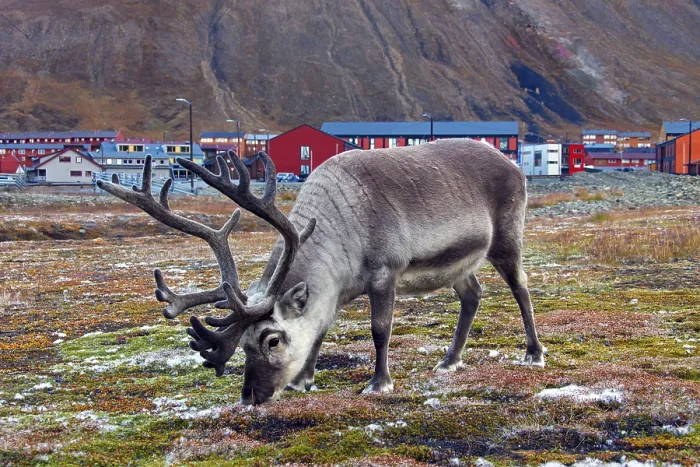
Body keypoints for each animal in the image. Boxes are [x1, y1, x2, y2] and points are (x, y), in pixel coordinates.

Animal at [96, 138, 545, 405]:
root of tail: (512, 165)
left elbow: (380, 330)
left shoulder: (384, 272)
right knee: (473, 295)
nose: (251, 396)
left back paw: (533, 352)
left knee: (521, 288)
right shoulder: (336, 290)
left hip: (507, 239)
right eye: (244, 346)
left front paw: (379, 382)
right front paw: (303, 379)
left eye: (272, 340)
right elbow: (321, 329)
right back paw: (450, 360)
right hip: (460, 264)